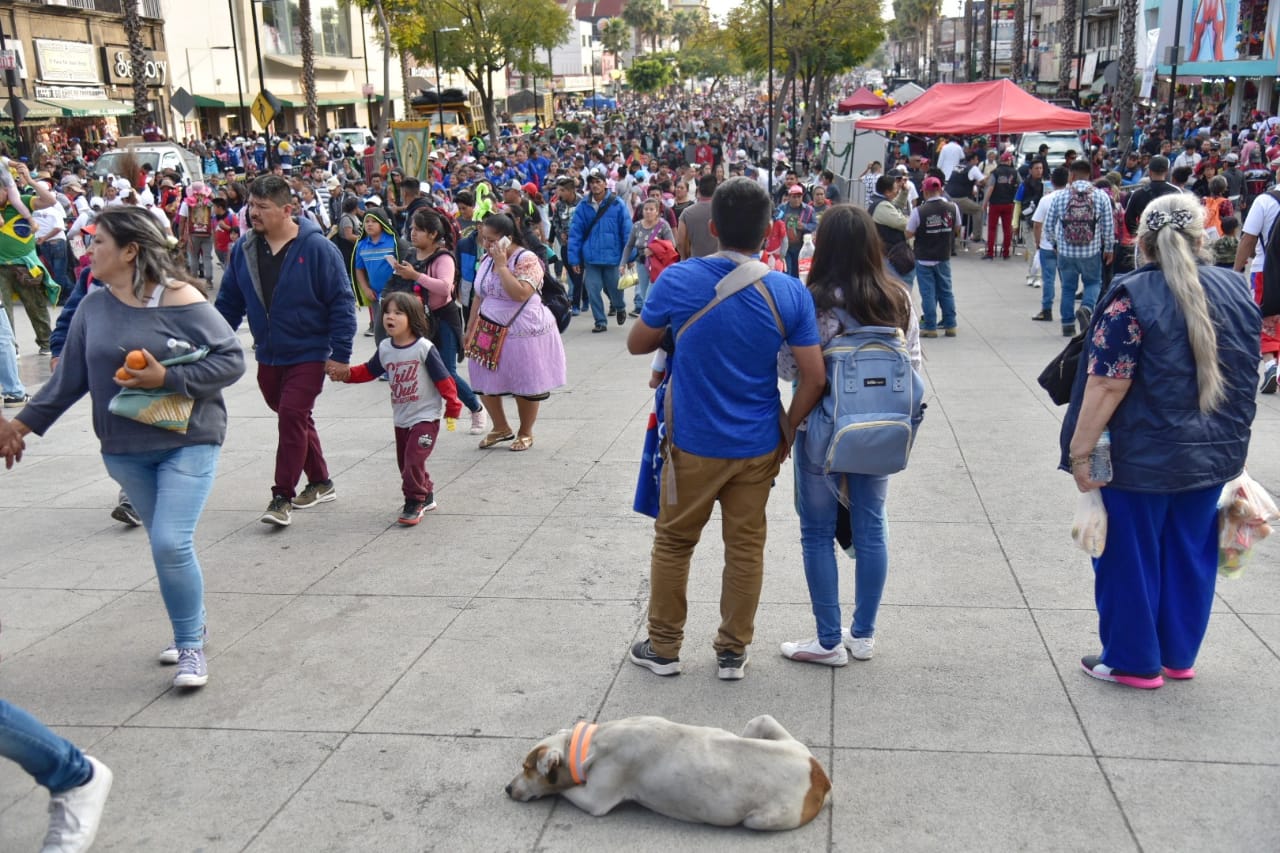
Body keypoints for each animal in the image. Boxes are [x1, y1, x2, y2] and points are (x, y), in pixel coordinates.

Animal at [504, 712, 824, 824]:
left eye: (526, 767)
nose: (507, 788)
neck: (592, 741)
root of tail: (821, 779)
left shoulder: (597, 798)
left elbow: (565, 790)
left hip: (762, 819)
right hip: (763, 723)